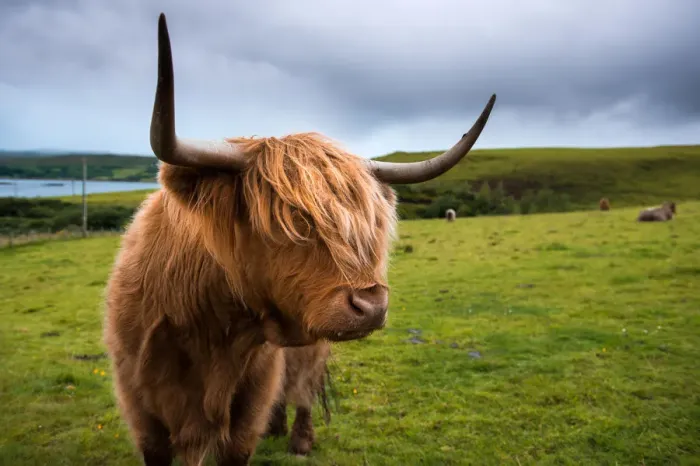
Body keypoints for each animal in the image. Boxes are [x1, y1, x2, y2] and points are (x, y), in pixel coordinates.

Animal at [103, 12, 496, 466]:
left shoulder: (250, 401)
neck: (210, 324)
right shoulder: (141, 405)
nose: (372, 306)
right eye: (286, 224)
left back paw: (299, 440)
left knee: (303, 389)